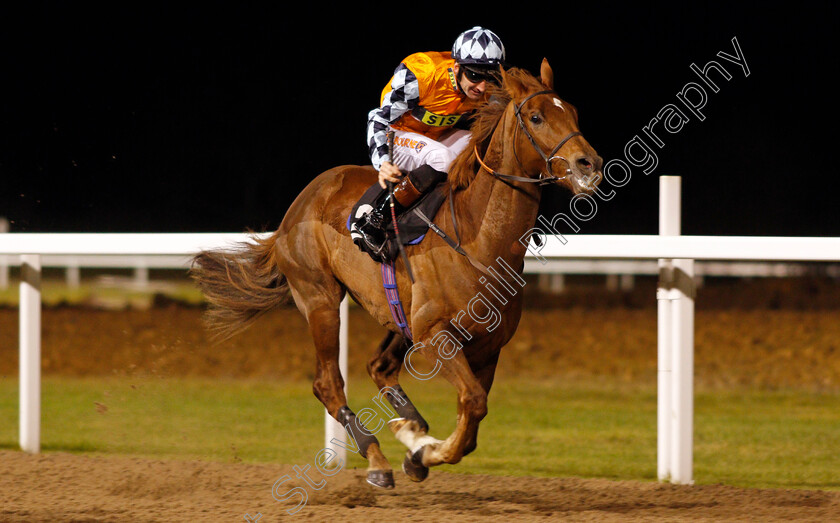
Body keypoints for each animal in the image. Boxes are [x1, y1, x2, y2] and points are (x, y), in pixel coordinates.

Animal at [190, 59, 600, 490]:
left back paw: (411, 431)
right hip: (320, 299)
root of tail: (300, 202)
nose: (590, 165)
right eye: (536, 117)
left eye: (573, 112)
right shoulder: (434, 335)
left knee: (380, 366)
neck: (478, 239)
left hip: (397, 314)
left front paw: (419, 448)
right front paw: (421, 449)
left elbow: (471, 420)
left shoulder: (488, 348)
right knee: (328, 384)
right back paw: (377, 459)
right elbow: (472, 404)